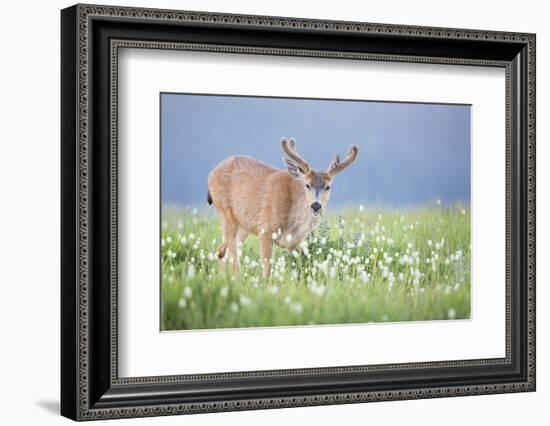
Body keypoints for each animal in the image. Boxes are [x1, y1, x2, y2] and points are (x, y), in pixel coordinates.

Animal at [209, 138, 360, 278]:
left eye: (328, 187)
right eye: (307, 185)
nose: (316, 205)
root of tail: (211, 174)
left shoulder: (294, 243)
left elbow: (292, 269)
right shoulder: (265, 230)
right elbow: (267, 271)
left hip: (243, 226)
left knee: (221, 252)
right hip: (226, 213)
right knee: (231, 256)